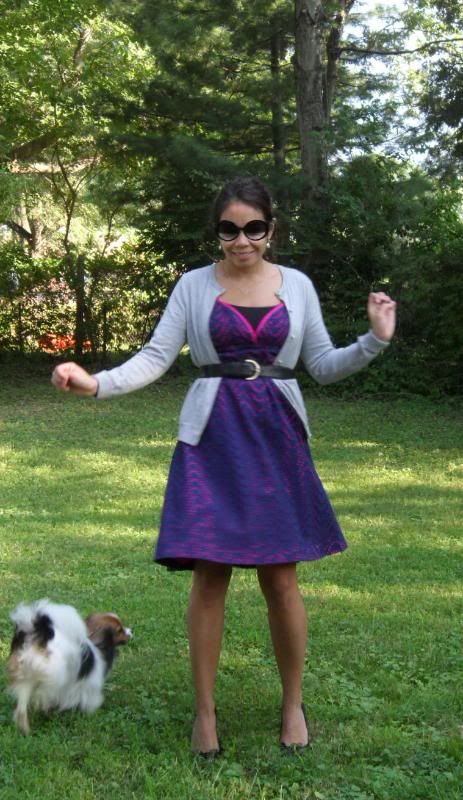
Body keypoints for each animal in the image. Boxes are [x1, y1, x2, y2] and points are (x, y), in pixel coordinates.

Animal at [6, 599, 132, 734]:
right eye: (120, 631)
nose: (131, 631)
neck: (95, 642)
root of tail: (37, 634)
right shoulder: (91, 685)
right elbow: (91, 701)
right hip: (51, 675)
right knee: (43, 694)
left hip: (25, 680)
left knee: (21, 708)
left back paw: (25, 729)